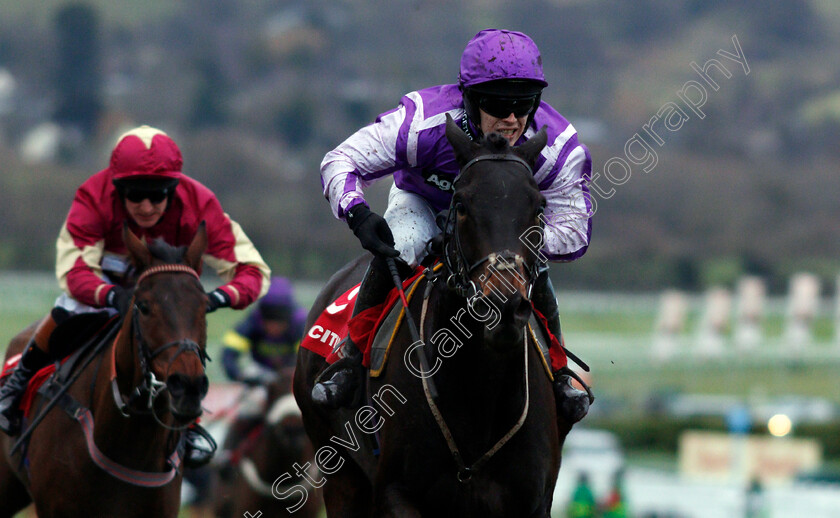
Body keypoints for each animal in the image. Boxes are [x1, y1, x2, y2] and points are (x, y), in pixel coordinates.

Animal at [292, 116, 576, 516]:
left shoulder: (533, 502)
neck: (481, 394)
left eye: (538, 207)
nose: (503, 305)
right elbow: (343, 158)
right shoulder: (396, 494)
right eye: (462, 204)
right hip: (340, 473)